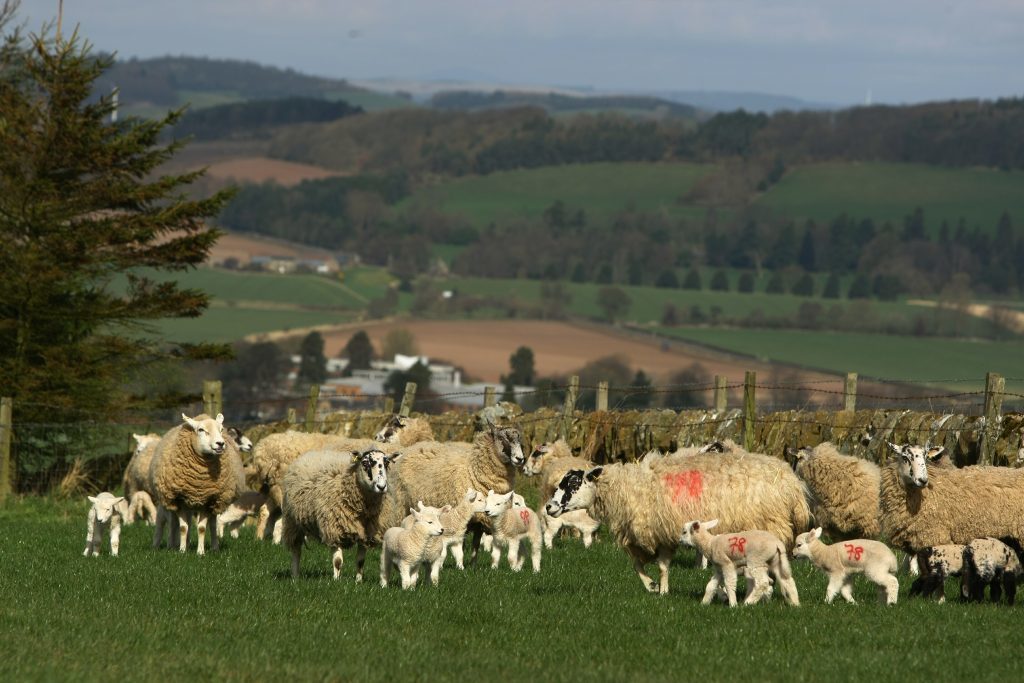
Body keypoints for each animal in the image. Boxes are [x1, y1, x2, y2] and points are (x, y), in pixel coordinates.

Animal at [149, 411, 244, 557]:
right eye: (201, 430)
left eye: (221, 429)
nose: (220, 444)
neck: (198, 480)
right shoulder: (179, 499)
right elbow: (183, 527)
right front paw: (182, 551)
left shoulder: (207, 500)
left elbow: (201, 528)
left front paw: (200, 552)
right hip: (166, 499)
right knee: (167, 522)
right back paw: (164, 545)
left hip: (213, 503)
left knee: (212, 524)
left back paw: (214, 547)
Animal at [280, 448, 399, 581]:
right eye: (364, 463)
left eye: (387, 463)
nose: (381, 487)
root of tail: (310, 453)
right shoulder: (334, 528)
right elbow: (337, 561)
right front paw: (336, 580)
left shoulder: (366, 534)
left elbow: (360, 561)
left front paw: (358, 581)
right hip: (292, 522)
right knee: (296, 550)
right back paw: (295, 576)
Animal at [544, 448, 806, 593]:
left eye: (574, 483)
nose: (549, 507)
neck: (628, 488)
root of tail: (792, 483)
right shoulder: (660, 535)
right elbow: (649, 565)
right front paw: (659, 589)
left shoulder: (656, 530)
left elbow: (651, 565)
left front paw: (654, 587)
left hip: (770, 526)